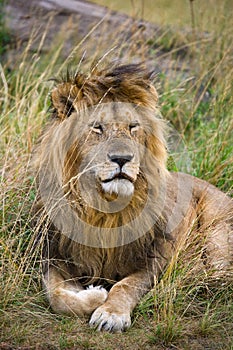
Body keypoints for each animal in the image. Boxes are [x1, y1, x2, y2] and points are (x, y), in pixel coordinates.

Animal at [33, 63, 233, 334]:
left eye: (132, 127)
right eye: (97, 127)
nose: (122, 158)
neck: (102, 207)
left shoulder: (154, 256)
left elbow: (126, 285)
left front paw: (110, 313)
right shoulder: (56, 254)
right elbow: (56, 296)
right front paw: (94, 294)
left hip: (217, 235)